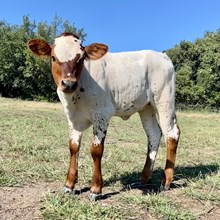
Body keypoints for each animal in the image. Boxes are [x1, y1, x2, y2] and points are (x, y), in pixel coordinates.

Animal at [27, 33, 180, 201]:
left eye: (81, 58)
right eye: (53, 57)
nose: (68, 83)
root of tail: (163, 55)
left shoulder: (102, 114)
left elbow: (96, 149)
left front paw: (95, 189)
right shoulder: (72, 118)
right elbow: (73, 147)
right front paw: (69, 185)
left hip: (164, 100)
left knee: (171, 134)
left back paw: (166, 181)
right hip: (146, 107)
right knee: (154, 135)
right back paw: (143, 179)